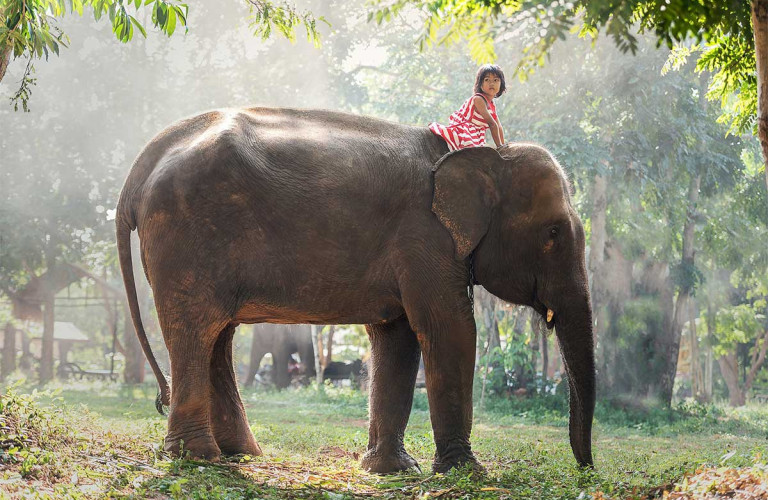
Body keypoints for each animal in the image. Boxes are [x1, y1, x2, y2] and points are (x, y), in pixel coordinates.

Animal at [115, 107, 592, 474]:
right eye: (552, 233)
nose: (585, 470)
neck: (482, 157)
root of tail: (140, 167)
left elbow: (398, 338)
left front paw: (390, 469)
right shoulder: (425, 238)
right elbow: (449, 330)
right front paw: (465, 472)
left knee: (218, 335)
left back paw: (239, 454)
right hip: (187, 239)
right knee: (196, 330)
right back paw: (199, 458)